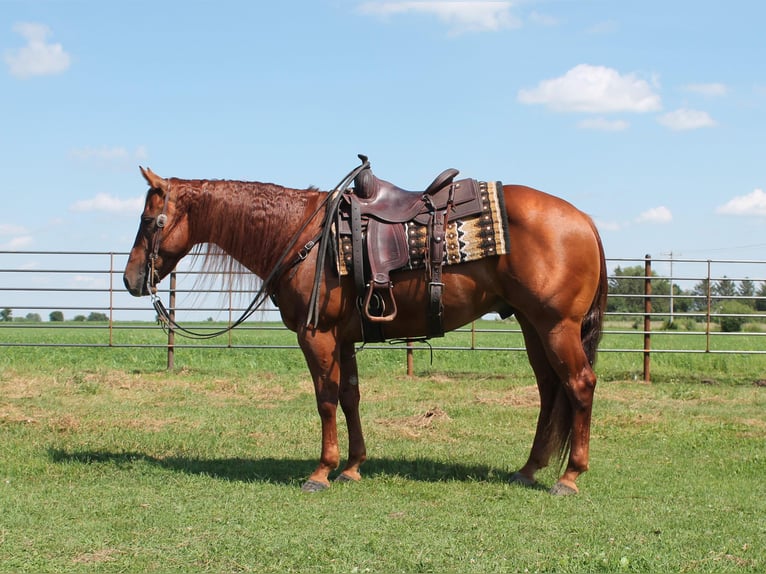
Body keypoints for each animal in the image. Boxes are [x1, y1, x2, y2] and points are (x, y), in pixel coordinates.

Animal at [123, 160, 608, 498]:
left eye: (148, 221)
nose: (130, 280)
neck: (301, 234)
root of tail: (584, 218)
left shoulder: (316, 335)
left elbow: (325, 399)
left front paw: (321, 471)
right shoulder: (342, 338)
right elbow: (350, 397)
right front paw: (353, 466)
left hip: (556, 326)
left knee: (579, 385)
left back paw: (569, 476)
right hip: (532, 325)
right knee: (549, 390)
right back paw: (529, 469)